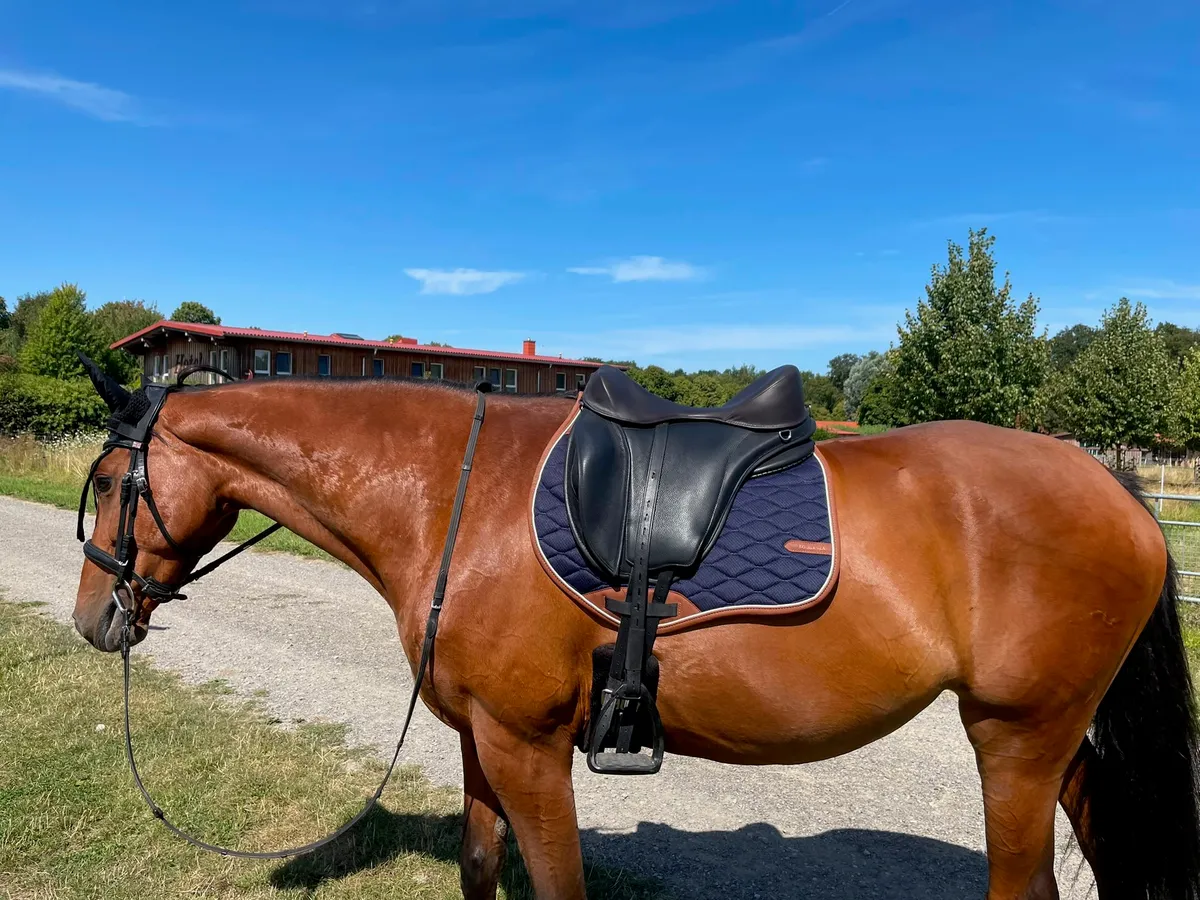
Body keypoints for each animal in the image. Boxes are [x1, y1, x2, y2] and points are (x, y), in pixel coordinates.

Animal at [70, 364, 1200, 900]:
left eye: (110, 482)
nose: (91, 618)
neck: (452, 496)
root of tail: (1112, 483)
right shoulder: (483, 737)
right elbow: (480, 866)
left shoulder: (528, 746)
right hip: (1053, 745)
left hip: (1015, 738)